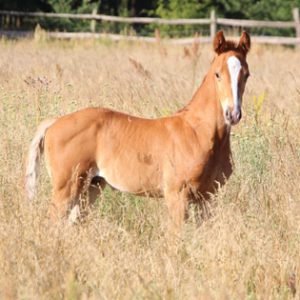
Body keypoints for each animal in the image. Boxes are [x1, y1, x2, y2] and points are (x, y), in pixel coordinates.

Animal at [25, 30, 251, 229]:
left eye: (246, 75)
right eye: (217, 74)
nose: (233, 114)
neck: (198, 132)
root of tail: (55, 122)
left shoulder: (208, 197)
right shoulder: (177, 195)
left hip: (91, 186)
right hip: (66, 187)